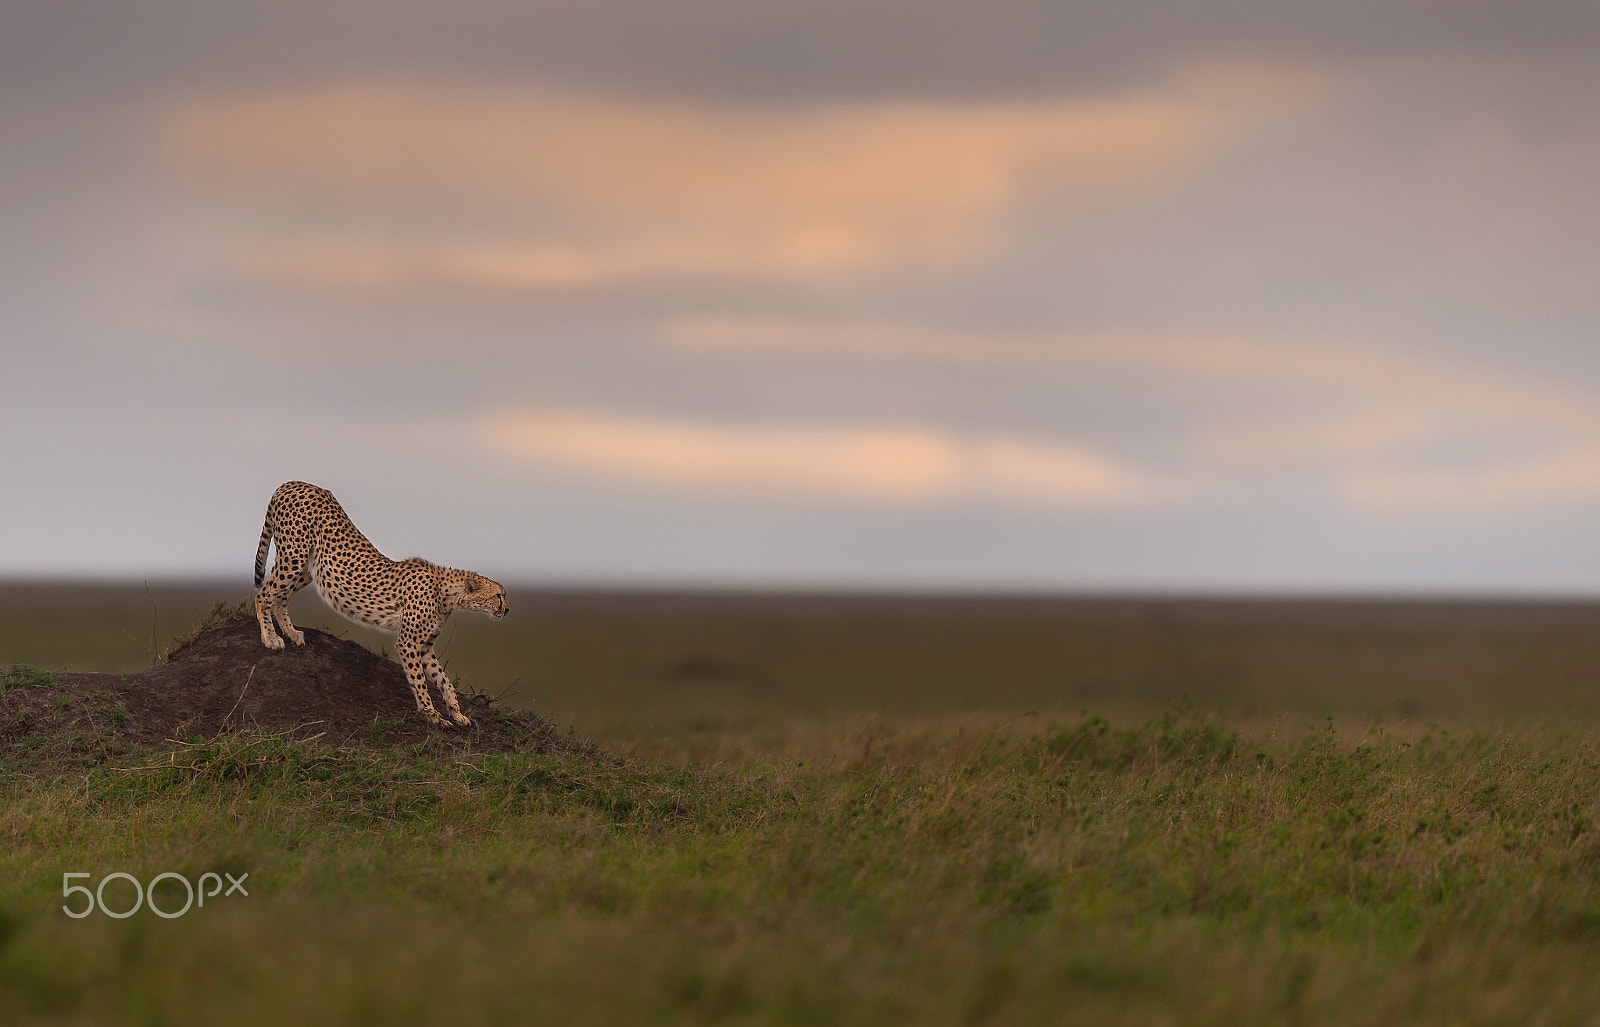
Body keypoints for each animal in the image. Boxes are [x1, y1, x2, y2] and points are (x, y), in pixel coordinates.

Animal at [252, 483, 508, 729]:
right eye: (499, 596)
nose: (507, 610)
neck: (446, 592)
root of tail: (293, 483)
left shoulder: (425, 647)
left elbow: (444, 680)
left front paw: (456, 713)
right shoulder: (408, 643)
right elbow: (420, 681)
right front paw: (431, 714)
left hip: (308, 566)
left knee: (280, 597)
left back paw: (291, 632)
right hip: (294, 556)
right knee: (263, 594)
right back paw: (271, 637)